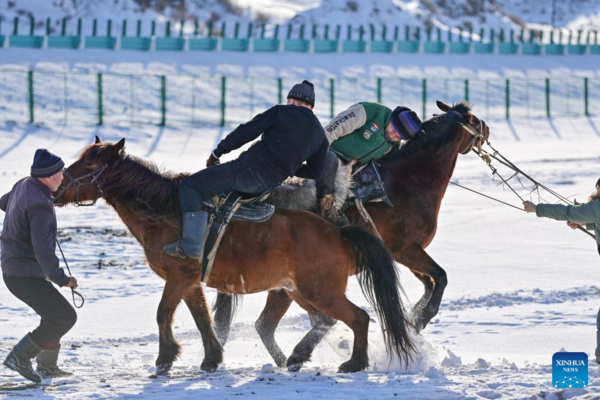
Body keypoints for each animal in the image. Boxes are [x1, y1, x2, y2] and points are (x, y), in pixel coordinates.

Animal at [56, 137, 418, 376]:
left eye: (89, 164)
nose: (56, 190)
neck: (166, 211)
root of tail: (336, 230)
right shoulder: (191, 282)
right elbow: (203, 320)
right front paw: (211, 359)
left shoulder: (179, 276)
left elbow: (163, 313)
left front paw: (164, 359)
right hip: (297, 290)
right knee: (323, 321)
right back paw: (298, 357)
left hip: (319, 291)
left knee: (357, 318)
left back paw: (352, 363)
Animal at [213, 100, 490, 366]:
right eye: (475, 121)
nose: (486, 130)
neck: (408, 182)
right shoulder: (406, 250)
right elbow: (440, 278)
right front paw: (421, 318)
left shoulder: (403, 254)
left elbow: (429, 283)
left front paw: (413, 317)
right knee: (284, 322)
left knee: (268, 324)